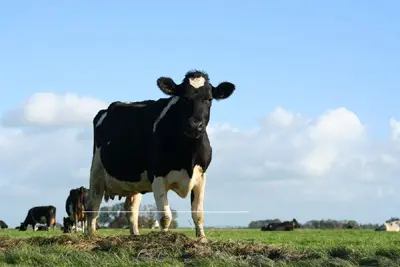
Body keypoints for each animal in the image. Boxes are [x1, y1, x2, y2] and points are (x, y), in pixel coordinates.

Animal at [85, 70, 234, 243]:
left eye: (209, 99)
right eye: (184, 98)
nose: (194, 125)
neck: (188, 157)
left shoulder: (201, 177)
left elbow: (198, 214)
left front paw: (202, 240)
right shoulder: (157, 177)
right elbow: (165, 217)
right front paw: (165, 239)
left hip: (134, 181)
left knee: (131, 209)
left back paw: (135, 235)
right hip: (96, 170)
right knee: (92, 206)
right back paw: (91, 236)